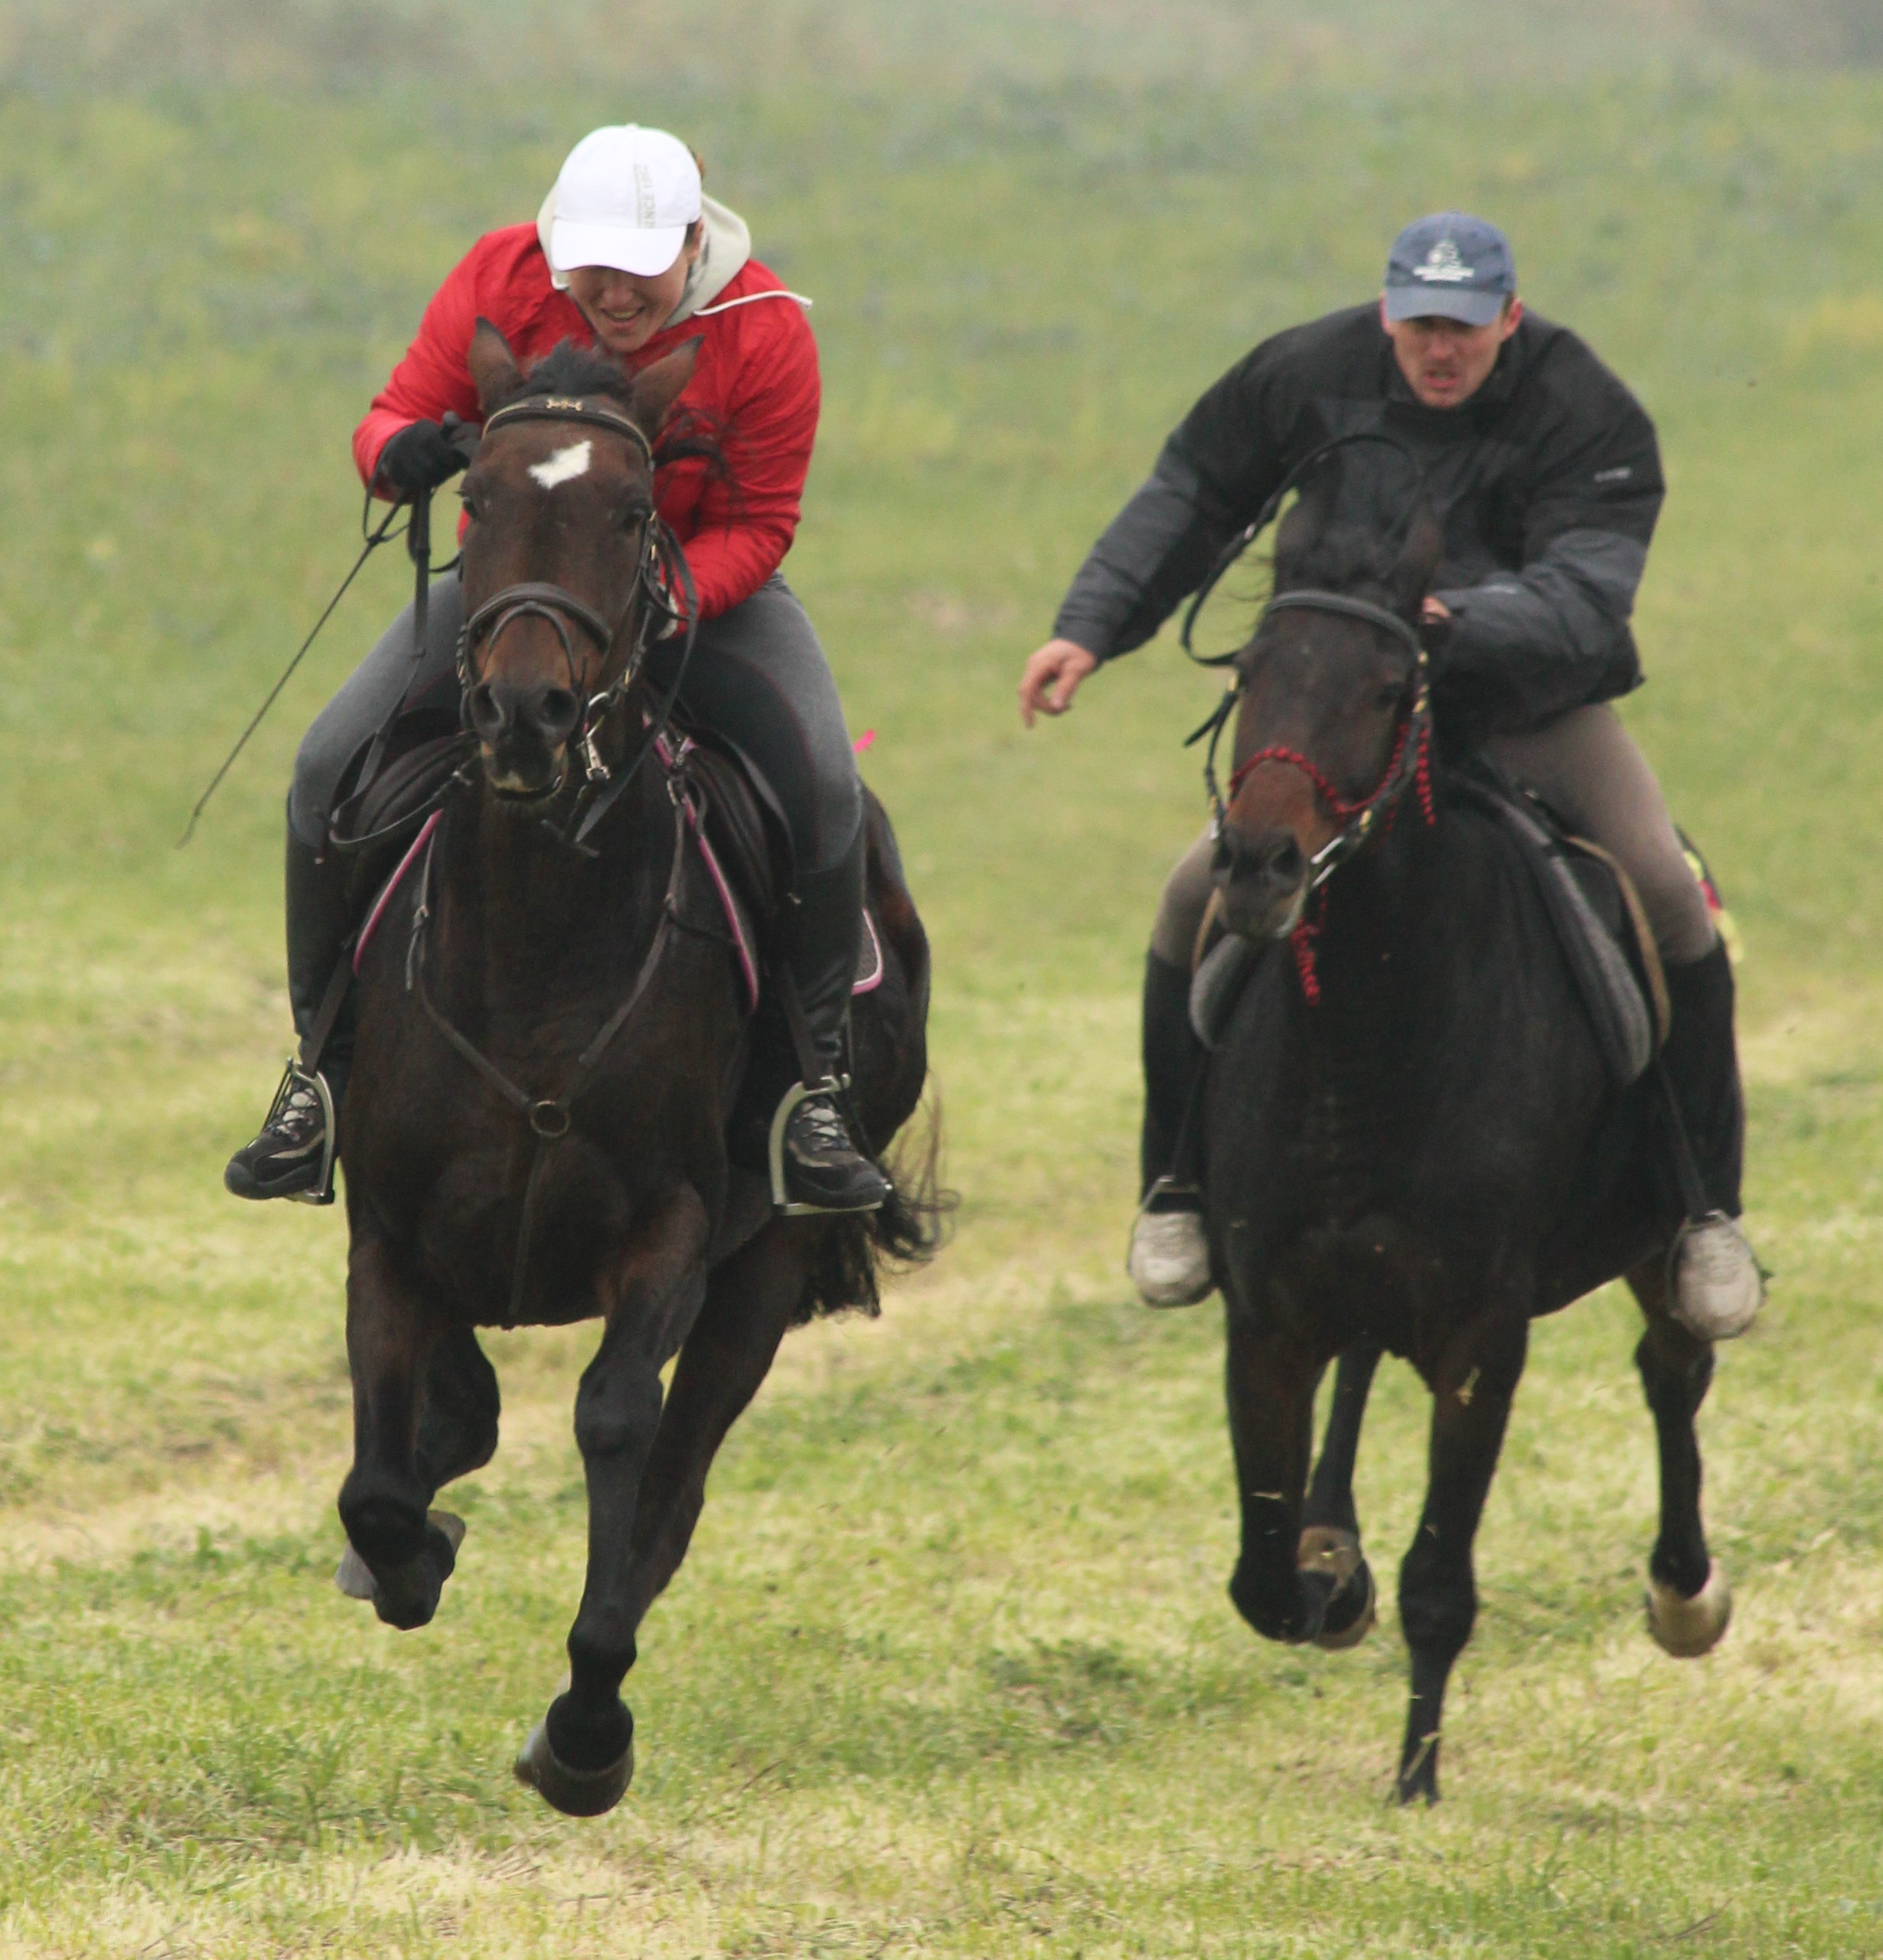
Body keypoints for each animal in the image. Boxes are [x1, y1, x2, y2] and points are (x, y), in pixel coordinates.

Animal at [333, 333, 940, 1818]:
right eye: (476, 495)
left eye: (628, 513)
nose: (526, 713)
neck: (540, 944)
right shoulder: (389, 1228)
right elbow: (381, 1475)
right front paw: (411, 1551)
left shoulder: (669, 1233)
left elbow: (619, 1427)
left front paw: (589, 1725)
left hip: (768, 1266)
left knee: (675, 1478)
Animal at [1199, 482, 1724, 1795]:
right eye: (1253, 670)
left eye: (1393, 689)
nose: (1260, 865)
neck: (1363, 1040)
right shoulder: (1266, 1317)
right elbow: (1263, 1579)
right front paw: (1327, 1578)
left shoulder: (1485, 1333)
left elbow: (1441, 1577)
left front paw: (1415, 1779)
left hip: (1654, 1243)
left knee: (1673, 1369)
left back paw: (1685, 1590)